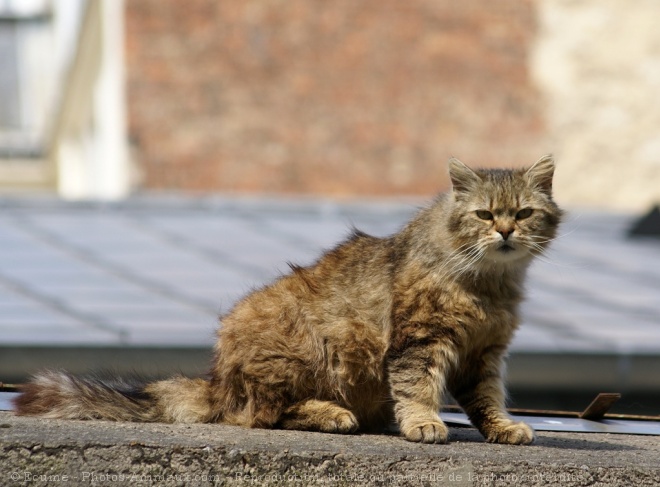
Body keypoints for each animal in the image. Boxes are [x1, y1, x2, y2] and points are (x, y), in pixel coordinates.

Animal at [12, 156, 564, 446]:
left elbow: (487, 400)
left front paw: (502, 427)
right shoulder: (420, 341)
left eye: (523, 213)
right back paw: (330, 414)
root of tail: (218, 378)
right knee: (261, 415)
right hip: (303, 347)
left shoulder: (484, 356)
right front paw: (425, 423)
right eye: (484, 214)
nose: (506, 231)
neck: (489, 286)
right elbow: (418, 389)